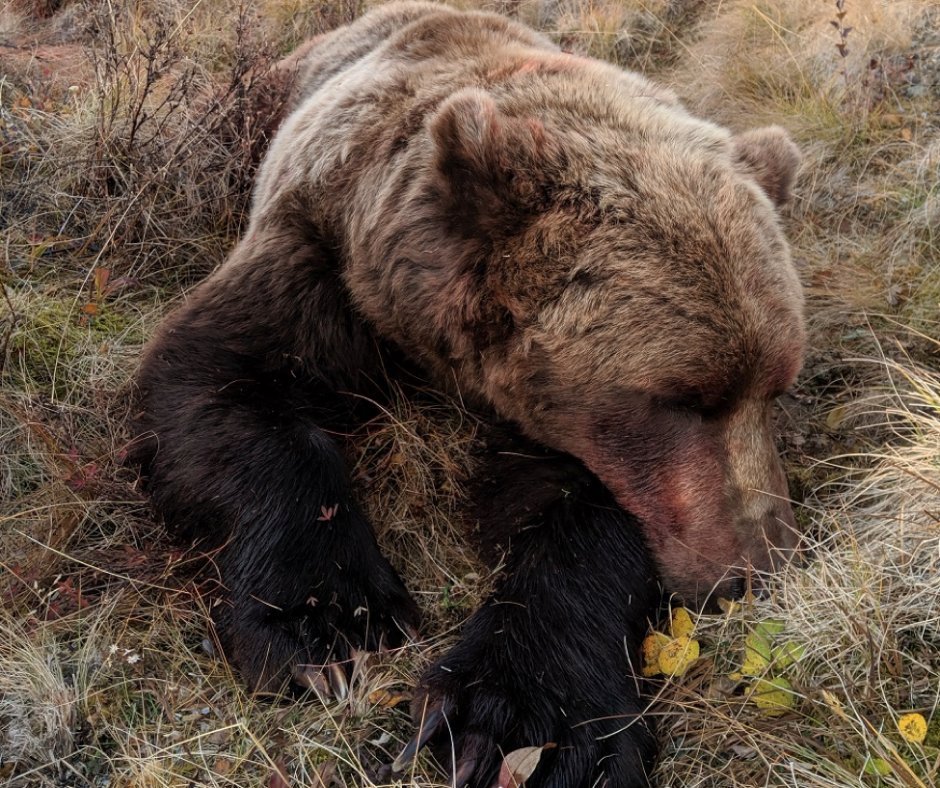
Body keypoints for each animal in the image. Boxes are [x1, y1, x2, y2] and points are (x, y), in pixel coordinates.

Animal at [128, 3, 805, 786]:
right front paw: (331, 630)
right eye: (680, 398)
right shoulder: (317, 252)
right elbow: (212, 379)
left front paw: (527, 722)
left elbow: (575, 508)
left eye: (777, 388)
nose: (757, 567)